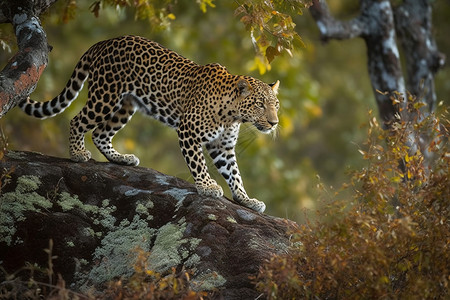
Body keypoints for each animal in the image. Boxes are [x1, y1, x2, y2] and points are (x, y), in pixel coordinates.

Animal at [19, 35, 280, 213]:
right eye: (260, 104)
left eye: (276, 104)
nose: (274, 122)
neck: (232, 115)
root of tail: (102, 43)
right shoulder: (188, 131)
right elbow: (198, 163)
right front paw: (207, 186)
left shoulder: (222, 147)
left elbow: (234, 174)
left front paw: (246, 199)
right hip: (105, 96)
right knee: (78, 121)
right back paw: (77, 153)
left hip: (126, 106)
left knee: (101, 133)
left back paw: (121, 158)